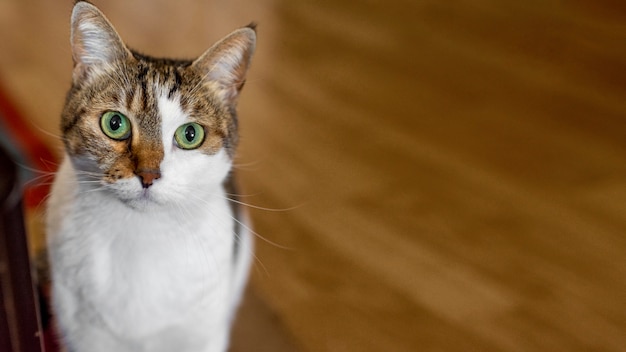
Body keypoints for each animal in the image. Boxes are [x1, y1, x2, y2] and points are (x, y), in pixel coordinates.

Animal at [45, 2, 256, 352]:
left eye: (190, 134)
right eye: (114, 123)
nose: (148, 174)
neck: (140, 235)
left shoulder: (201, 331)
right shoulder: (85, 332)